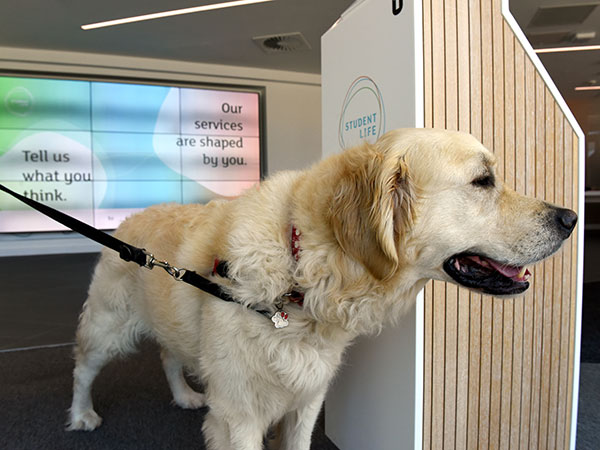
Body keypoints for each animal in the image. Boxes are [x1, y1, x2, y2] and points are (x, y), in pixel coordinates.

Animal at [67, 128, 576, 448]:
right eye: (483, 180)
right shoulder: (239, 415)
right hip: (107, 326)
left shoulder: (308, 401)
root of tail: (129, 220)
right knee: (83, 369)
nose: (570, 218)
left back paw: (184, 394)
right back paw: (81, 415)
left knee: (168, 354)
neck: (302, 270)